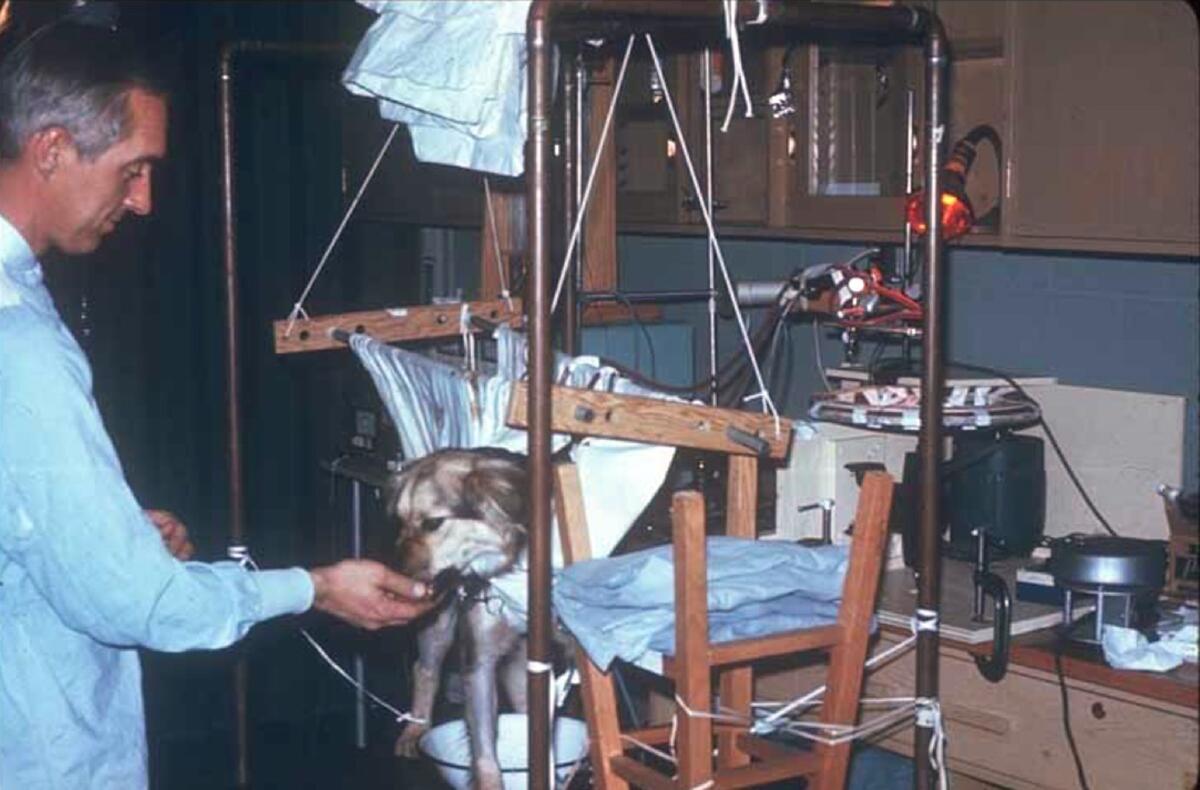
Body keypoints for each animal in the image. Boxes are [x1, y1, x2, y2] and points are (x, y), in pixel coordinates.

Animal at [388, 449, 530, 787]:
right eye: (400, 522)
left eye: (433, 523)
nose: (393, 571)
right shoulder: (479, 659)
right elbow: (485, 756)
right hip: (439, 625)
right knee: (425, 669)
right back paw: (415, 728)